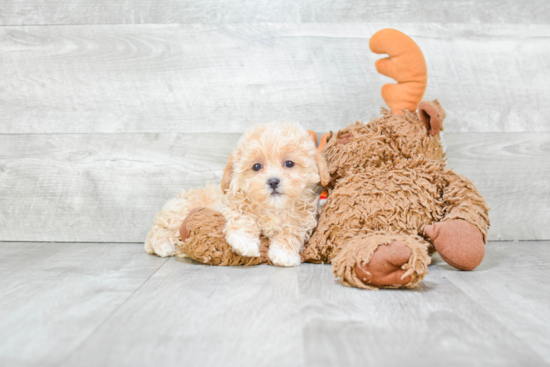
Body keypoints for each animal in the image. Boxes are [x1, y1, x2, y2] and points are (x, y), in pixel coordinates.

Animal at [144, 123, 330, 268]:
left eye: (289, 163)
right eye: (256, 166)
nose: (273, 181)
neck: (272, 208)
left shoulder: (302, 220)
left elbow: (291, 233)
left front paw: (284, 254)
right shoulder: (230, 205)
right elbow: (242, 217)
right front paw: (244, 243)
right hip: (179, 212)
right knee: (157, 231)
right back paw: (163, 245)